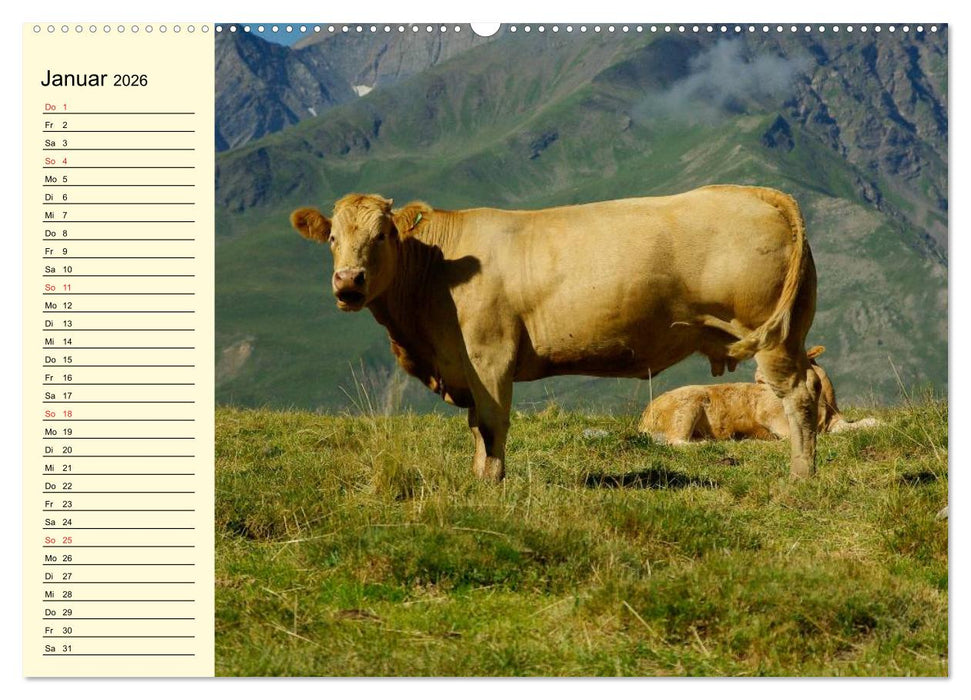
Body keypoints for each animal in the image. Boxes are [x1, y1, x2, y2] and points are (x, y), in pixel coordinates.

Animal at [291, 185, 820, 480]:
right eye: (333, 238)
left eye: (382, 235)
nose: (348, 282)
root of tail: (759, 192)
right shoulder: (465, 365)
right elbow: (475, 427)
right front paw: (476, 476)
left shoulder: (489, 355)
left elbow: (491, 423)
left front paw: (492, 483)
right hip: (792, 331)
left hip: (770, 335)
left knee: (797, 397)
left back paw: (800, 475)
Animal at [638, 346, 879, 443]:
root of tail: (644, 417)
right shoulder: (779, 421)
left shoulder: (835, 421)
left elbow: (864, 422)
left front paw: (878, 424)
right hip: (687, 408)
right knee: (676, 441)